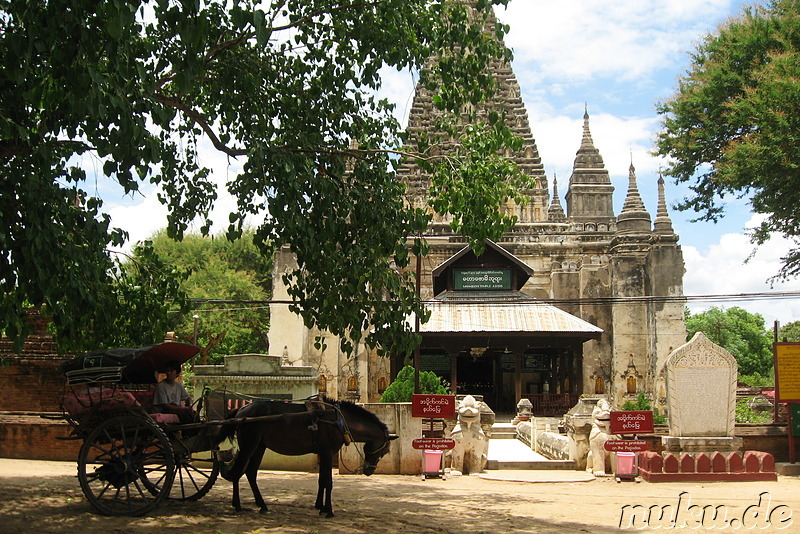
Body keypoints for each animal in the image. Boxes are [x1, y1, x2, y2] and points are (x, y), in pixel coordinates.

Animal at [217, 398, 396, 520]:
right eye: (384, 451)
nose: (369, 470)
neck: (339, 421)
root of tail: (241, 410)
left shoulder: (323, 453)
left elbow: (322, 480)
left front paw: (320, 507)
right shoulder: (327, 452)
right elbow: (329, 482)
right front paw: (329, 511)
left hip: (260, 446)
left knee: (251, 472)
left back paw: (262, 505)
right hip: (249, 444)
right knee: (238, 471)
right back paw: (237, 505)